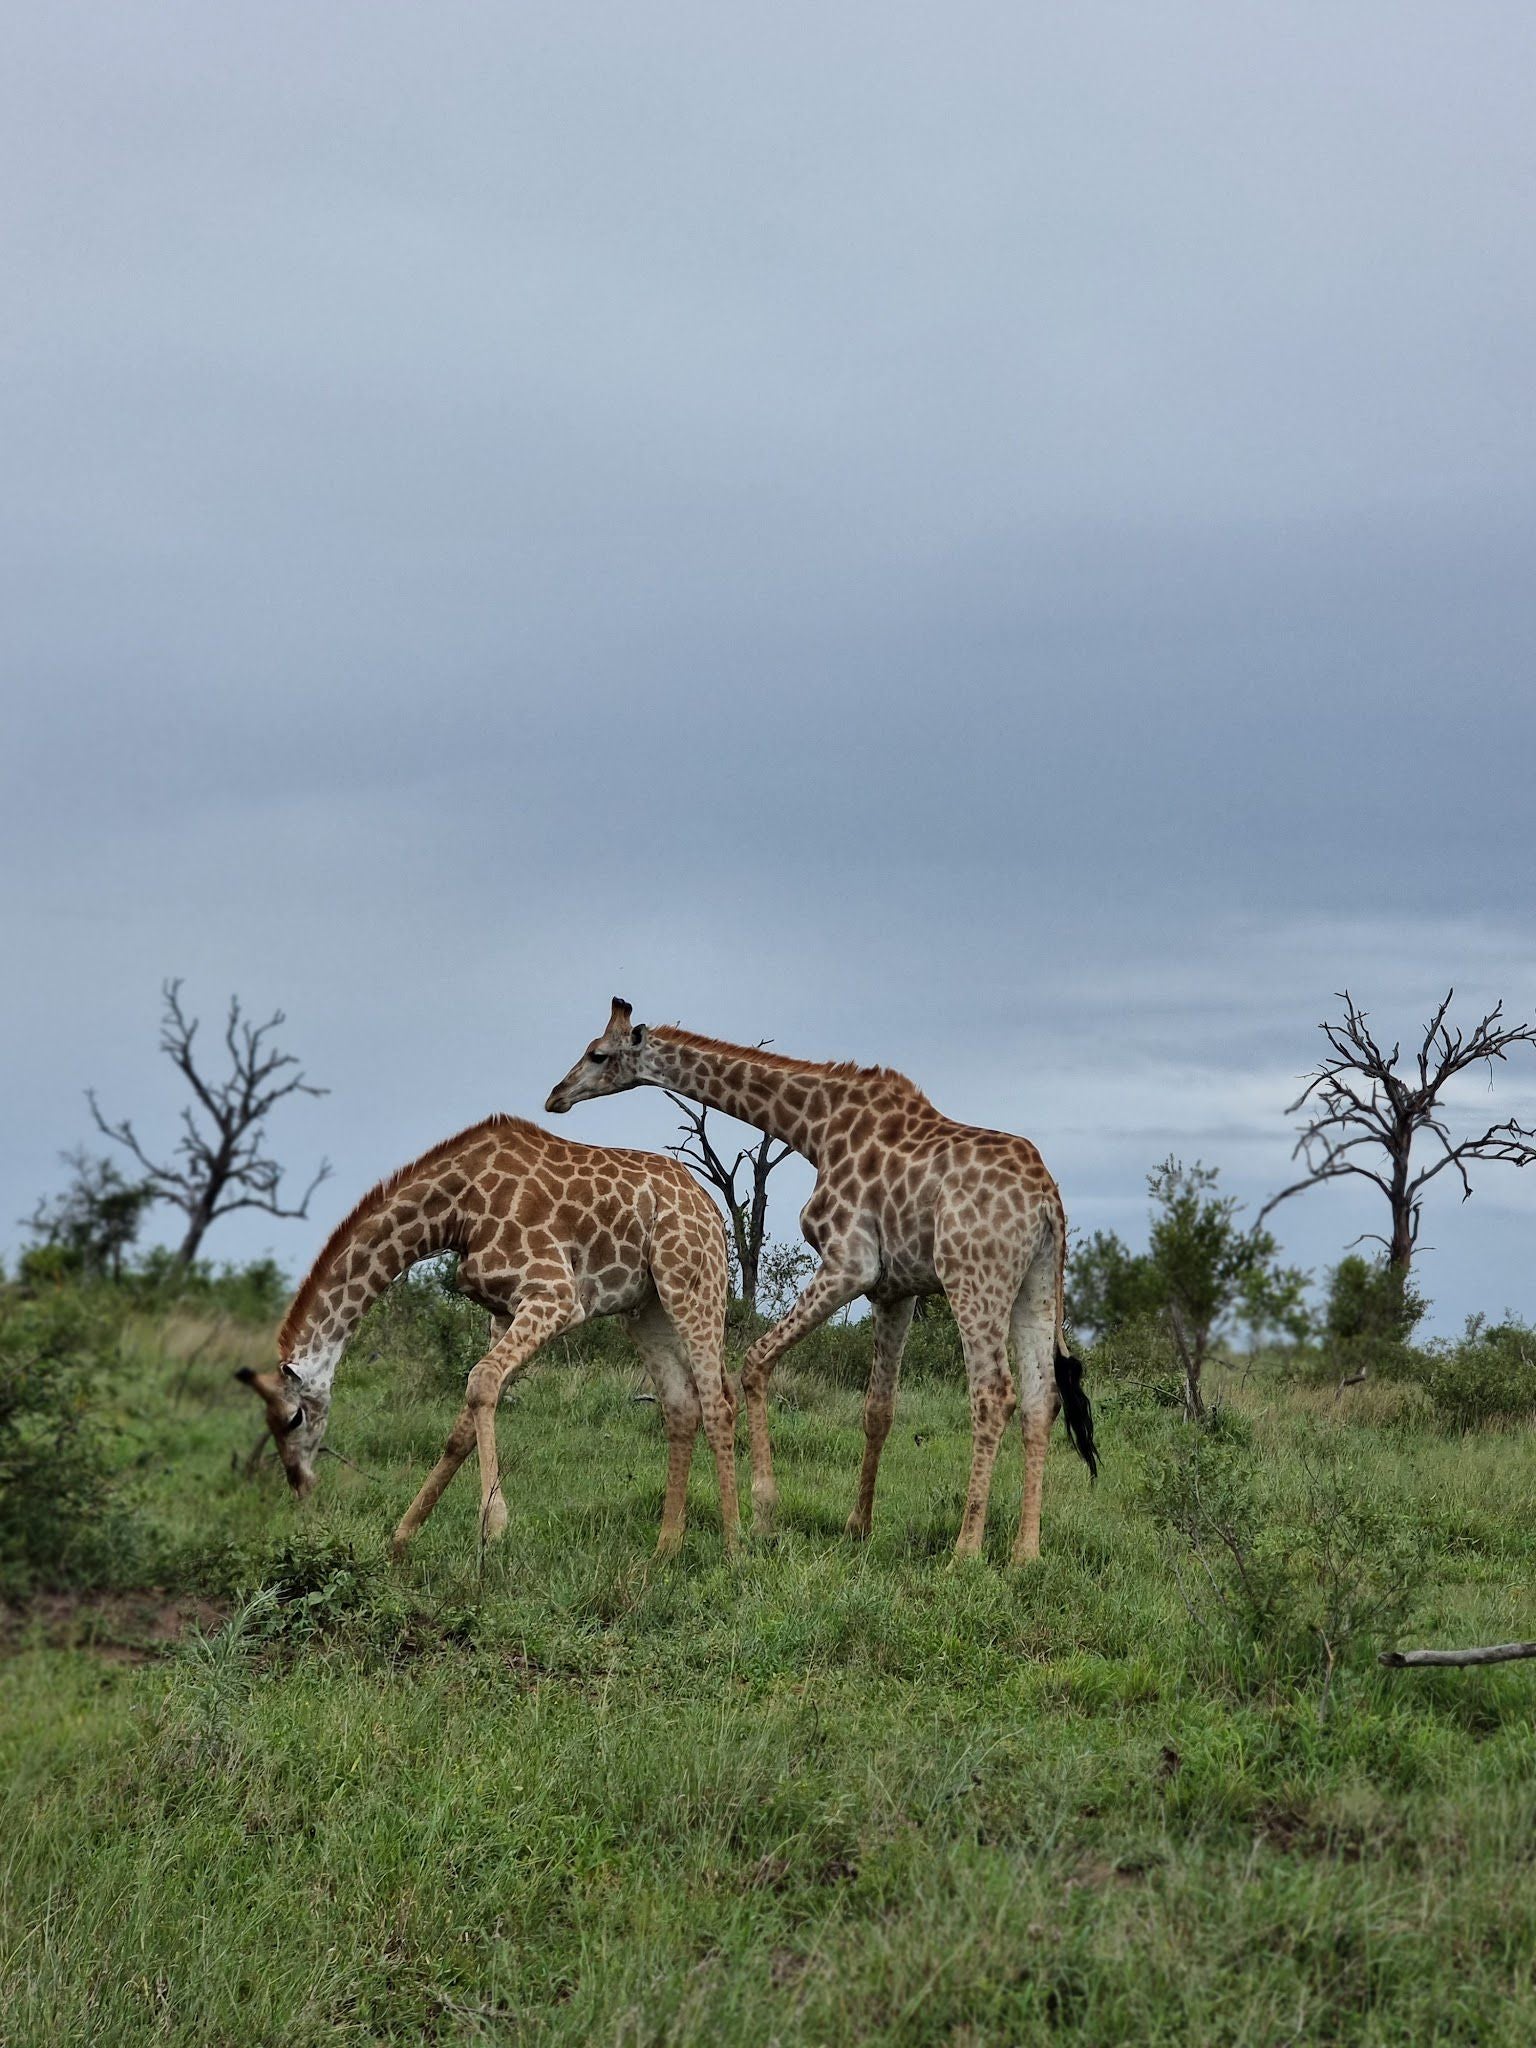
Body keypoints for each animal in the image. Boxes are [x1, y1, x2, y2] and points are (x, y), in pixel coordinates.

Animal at [234, 1114, 745, 1556]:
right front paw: (401, 1537)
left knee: (718, 1403)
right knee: (681, 1407)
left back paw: (734, 1546)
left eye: (294, 1418)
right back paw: (666, 1547)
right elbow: (462, 1425)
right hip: (647, 1309)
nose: (300, 1484)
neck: (455, 1212)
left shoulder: (555, 1294)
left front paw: (493, 1524)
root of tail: (711, 1209)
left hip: (691, 1283)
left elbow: (480, 1382)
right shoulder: (503, 1312)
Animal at [548, 999, 1097, 1556]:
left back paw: (965, 1551)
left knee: (993, 1394)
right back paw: (1024, 1554)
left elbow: (755, 1361)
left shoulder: (852, 1263)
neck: (817, 1127)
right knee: (1041, 1399)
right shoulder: (895, 1290)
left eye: (597, 1054)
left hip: (974, 1278)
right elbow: (878, 1409)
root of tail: (1047, 1201)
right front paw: (859, 1526)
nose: (555, 1096)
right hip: (1035, 1285)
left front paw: (765, 1513)